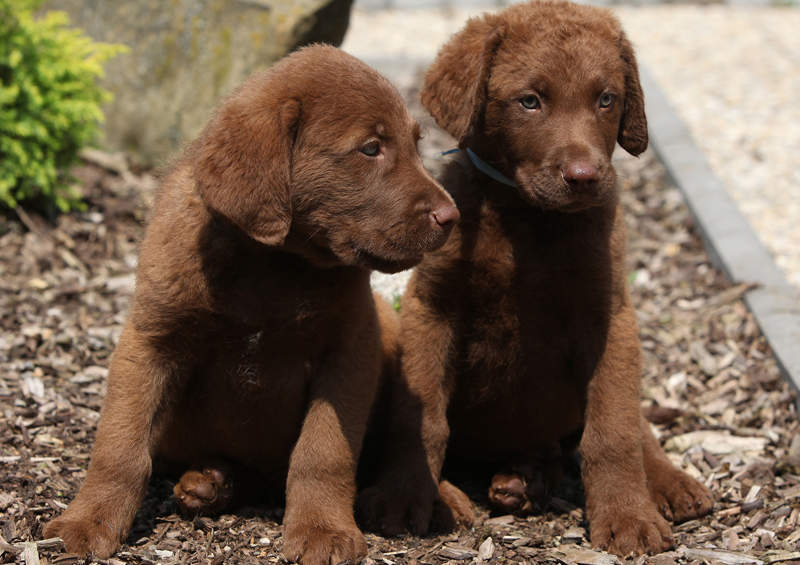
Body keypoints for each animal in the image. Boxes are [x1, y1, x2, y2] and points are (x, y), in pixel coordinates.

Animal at [45, 45, 456, 564]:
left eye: (417, 143)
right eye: (370, 148)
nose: (451, 216)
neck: (270, 264)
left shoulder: (350, 351)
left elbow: (324, 451)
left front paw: (322, 529)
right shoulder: (150, 341)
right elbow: (120, 446)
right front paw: (87, 521)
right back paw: (209, 484)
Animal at [356, 1, 712, 556]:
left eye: (606, 98)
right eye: (530, 101)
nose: (585, 177)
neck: (528, 218)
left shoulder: (607, 315)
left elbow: (613, 430)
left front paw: (627, 517)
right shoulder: (433, 308)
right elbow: (423, 418)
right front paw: (402, 497)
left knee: (634, 428)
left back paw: (665, 482)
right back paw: (514, 482)